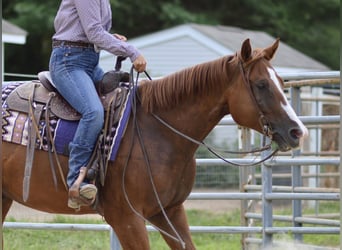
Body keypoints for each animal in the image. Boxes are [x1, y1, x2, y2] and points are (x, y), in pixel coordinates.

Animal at [2, 38, 308, 249]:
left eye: (281, 82)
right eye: (261, 85)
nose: (298, 132)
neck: (157, 131)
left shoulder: (169, 212)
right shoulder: (127, 219)